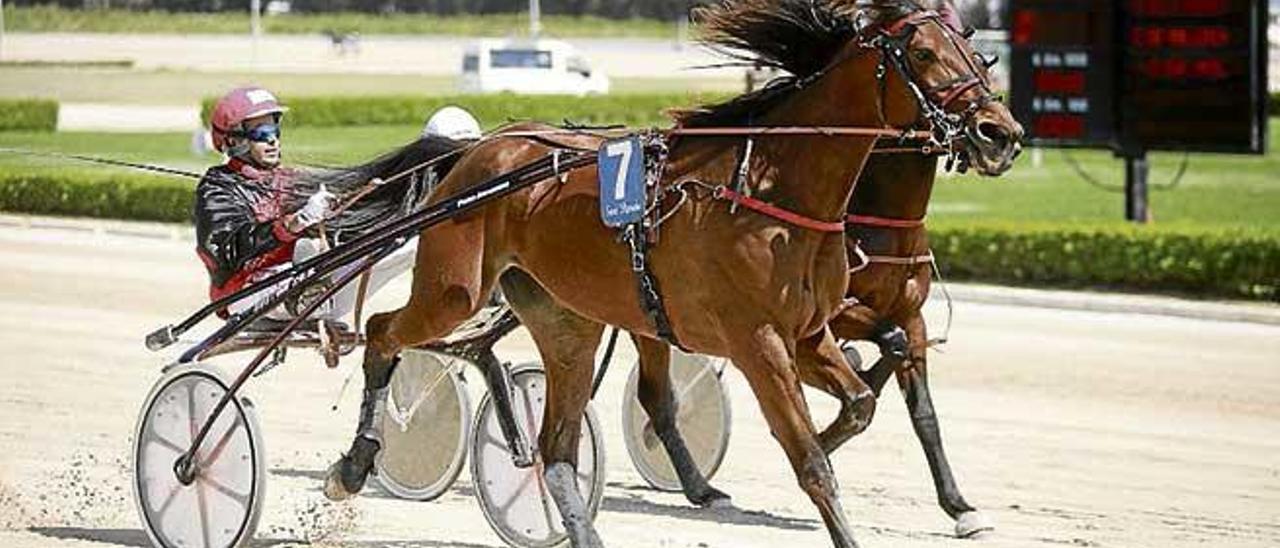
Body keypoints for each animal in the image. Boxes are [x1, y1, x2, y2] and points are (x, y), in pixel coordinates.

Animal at [330, 2, 1018, 545]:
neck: (775, 190)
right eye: (924, 53)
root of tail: (481, 151)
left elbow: (863, 401)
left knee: (557, 452)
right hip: (455, 288)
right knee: (384, 331)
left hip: (568, 321)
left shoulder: (808, 333)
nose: (1000, 132)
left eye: (977, 54)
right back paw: (353, 466)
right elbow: (813, 463)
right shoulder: (759, 343)